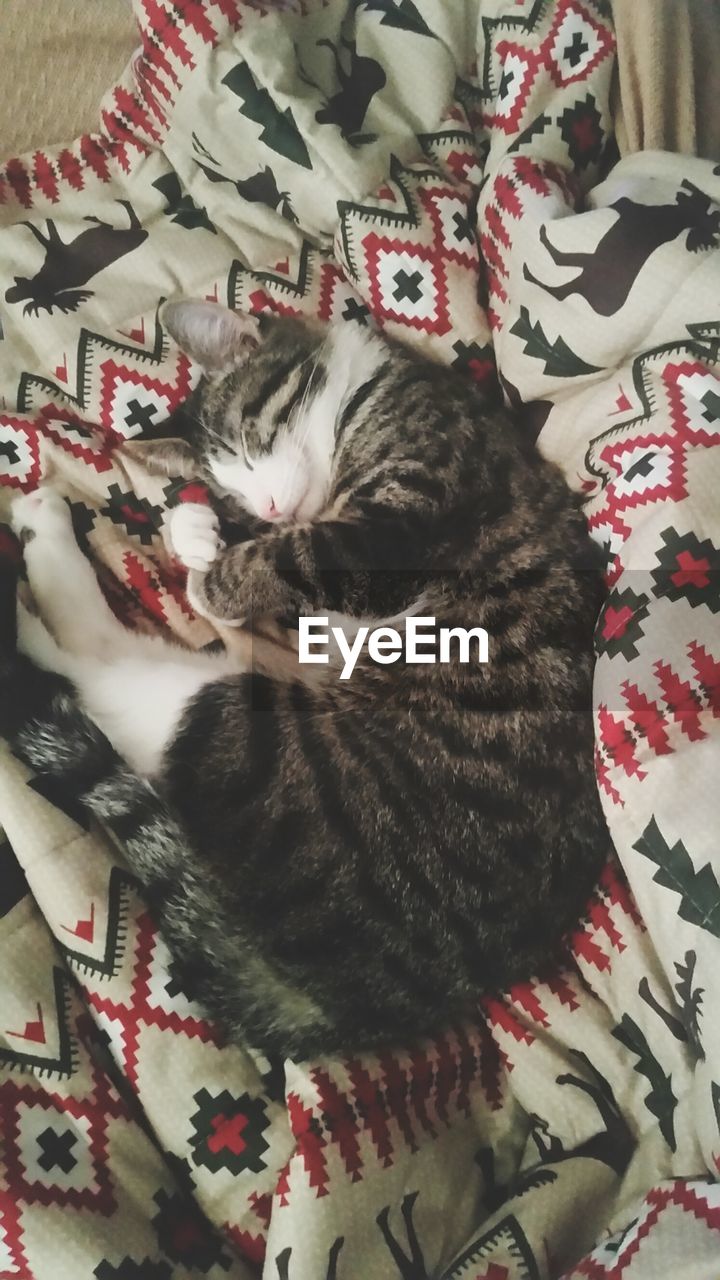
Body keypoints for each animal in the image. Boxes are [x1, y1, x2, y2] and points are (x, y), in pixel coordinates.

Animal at [0, 302, 604, 1059]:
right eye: (229, 490)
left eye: (253, 440)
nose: (266, 510)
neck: (363, 395)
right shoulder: (321, 609)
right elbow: (277, 586)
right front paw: (200, 533)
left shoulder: (395, 525)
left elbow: (288, 561)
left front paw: (213, 569)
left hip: (249, 736)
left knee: (96, 669)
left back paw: (37, 568)